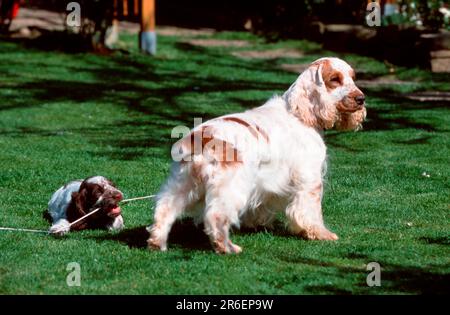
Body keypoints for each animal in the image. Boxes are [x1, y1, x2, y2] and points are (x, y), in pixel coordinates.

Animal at [147, 56, 366, 254]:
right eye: (335, 79)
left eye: (353, 77)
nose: (361, 99)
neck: (299, 113)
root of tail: (201, 137)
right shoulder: (309, 178)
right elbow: (310, 211)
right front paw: (321, 234)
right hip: (231, 187)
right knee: (216, 216)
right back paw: (227, 248)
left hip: (182, 183)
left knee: (165, 208)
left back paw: (157, 243)